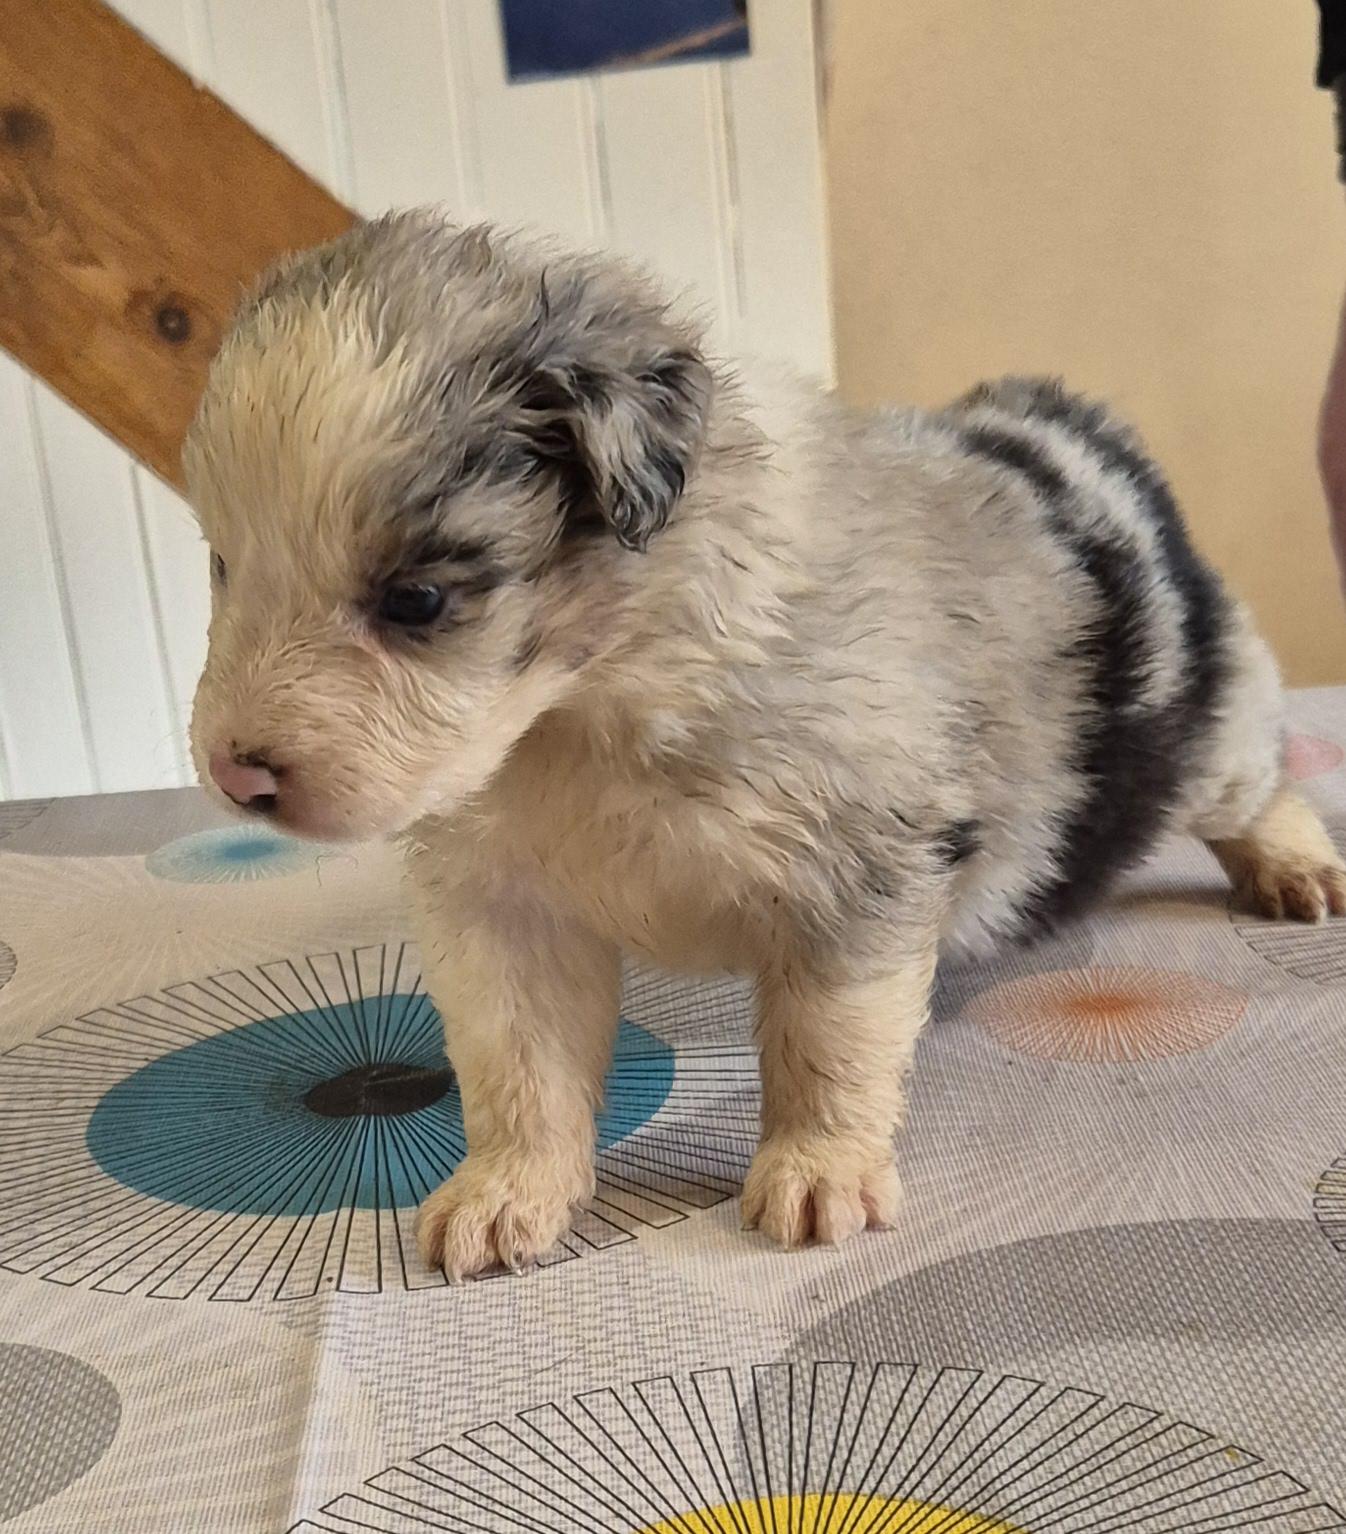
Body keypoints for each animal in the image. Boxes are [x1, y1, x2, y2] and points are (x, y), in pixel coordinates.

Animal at [185, 209, 1346, 1278]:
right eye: (221, 566)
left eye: (416, 599)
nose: (233, 775)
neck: (585, 710)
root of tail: (1065, 431)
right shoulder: (501, 910)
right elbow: (519, 1068)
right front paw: (504, 1192)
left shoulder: (855, 871)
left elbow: (824, 1042)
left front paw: (817, 1171)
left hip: (1207, 727)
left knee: (1262, 779)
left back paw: (1295, 870)